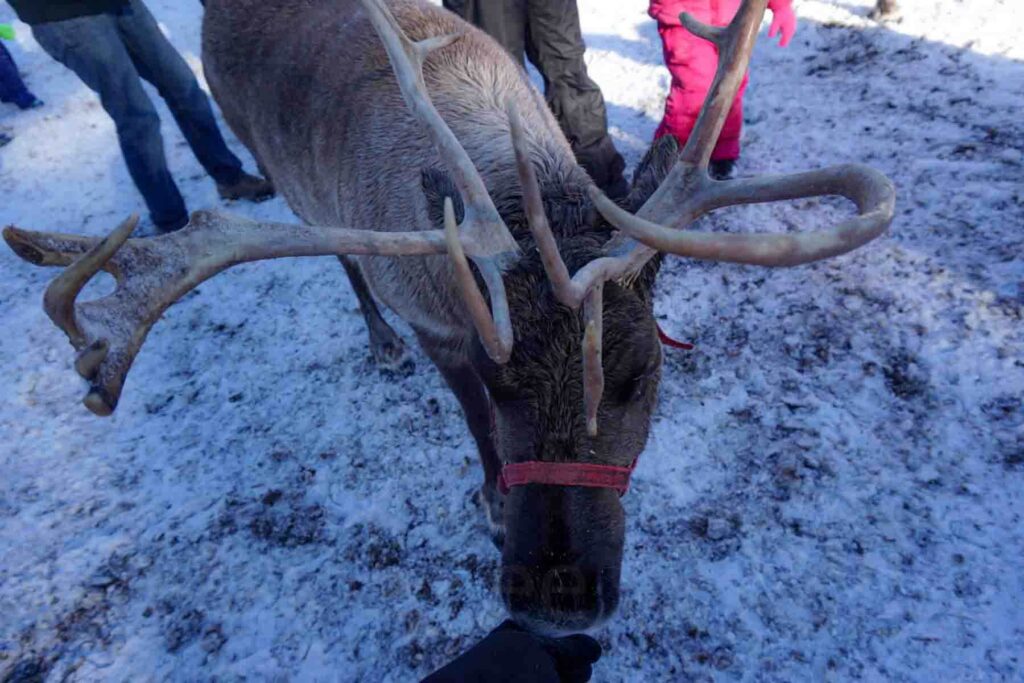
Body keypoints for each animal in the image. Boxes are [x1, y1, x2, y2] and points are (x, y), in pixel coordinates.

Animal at [3, 0, 894, 634]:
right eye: (503, 386)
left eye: (641, 376)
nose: (555, 598)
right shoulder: (437, 321)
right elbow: (467, 417)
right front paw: (494, 501)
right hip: (280, 169)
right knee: (343, 262)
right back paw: (377, 342)